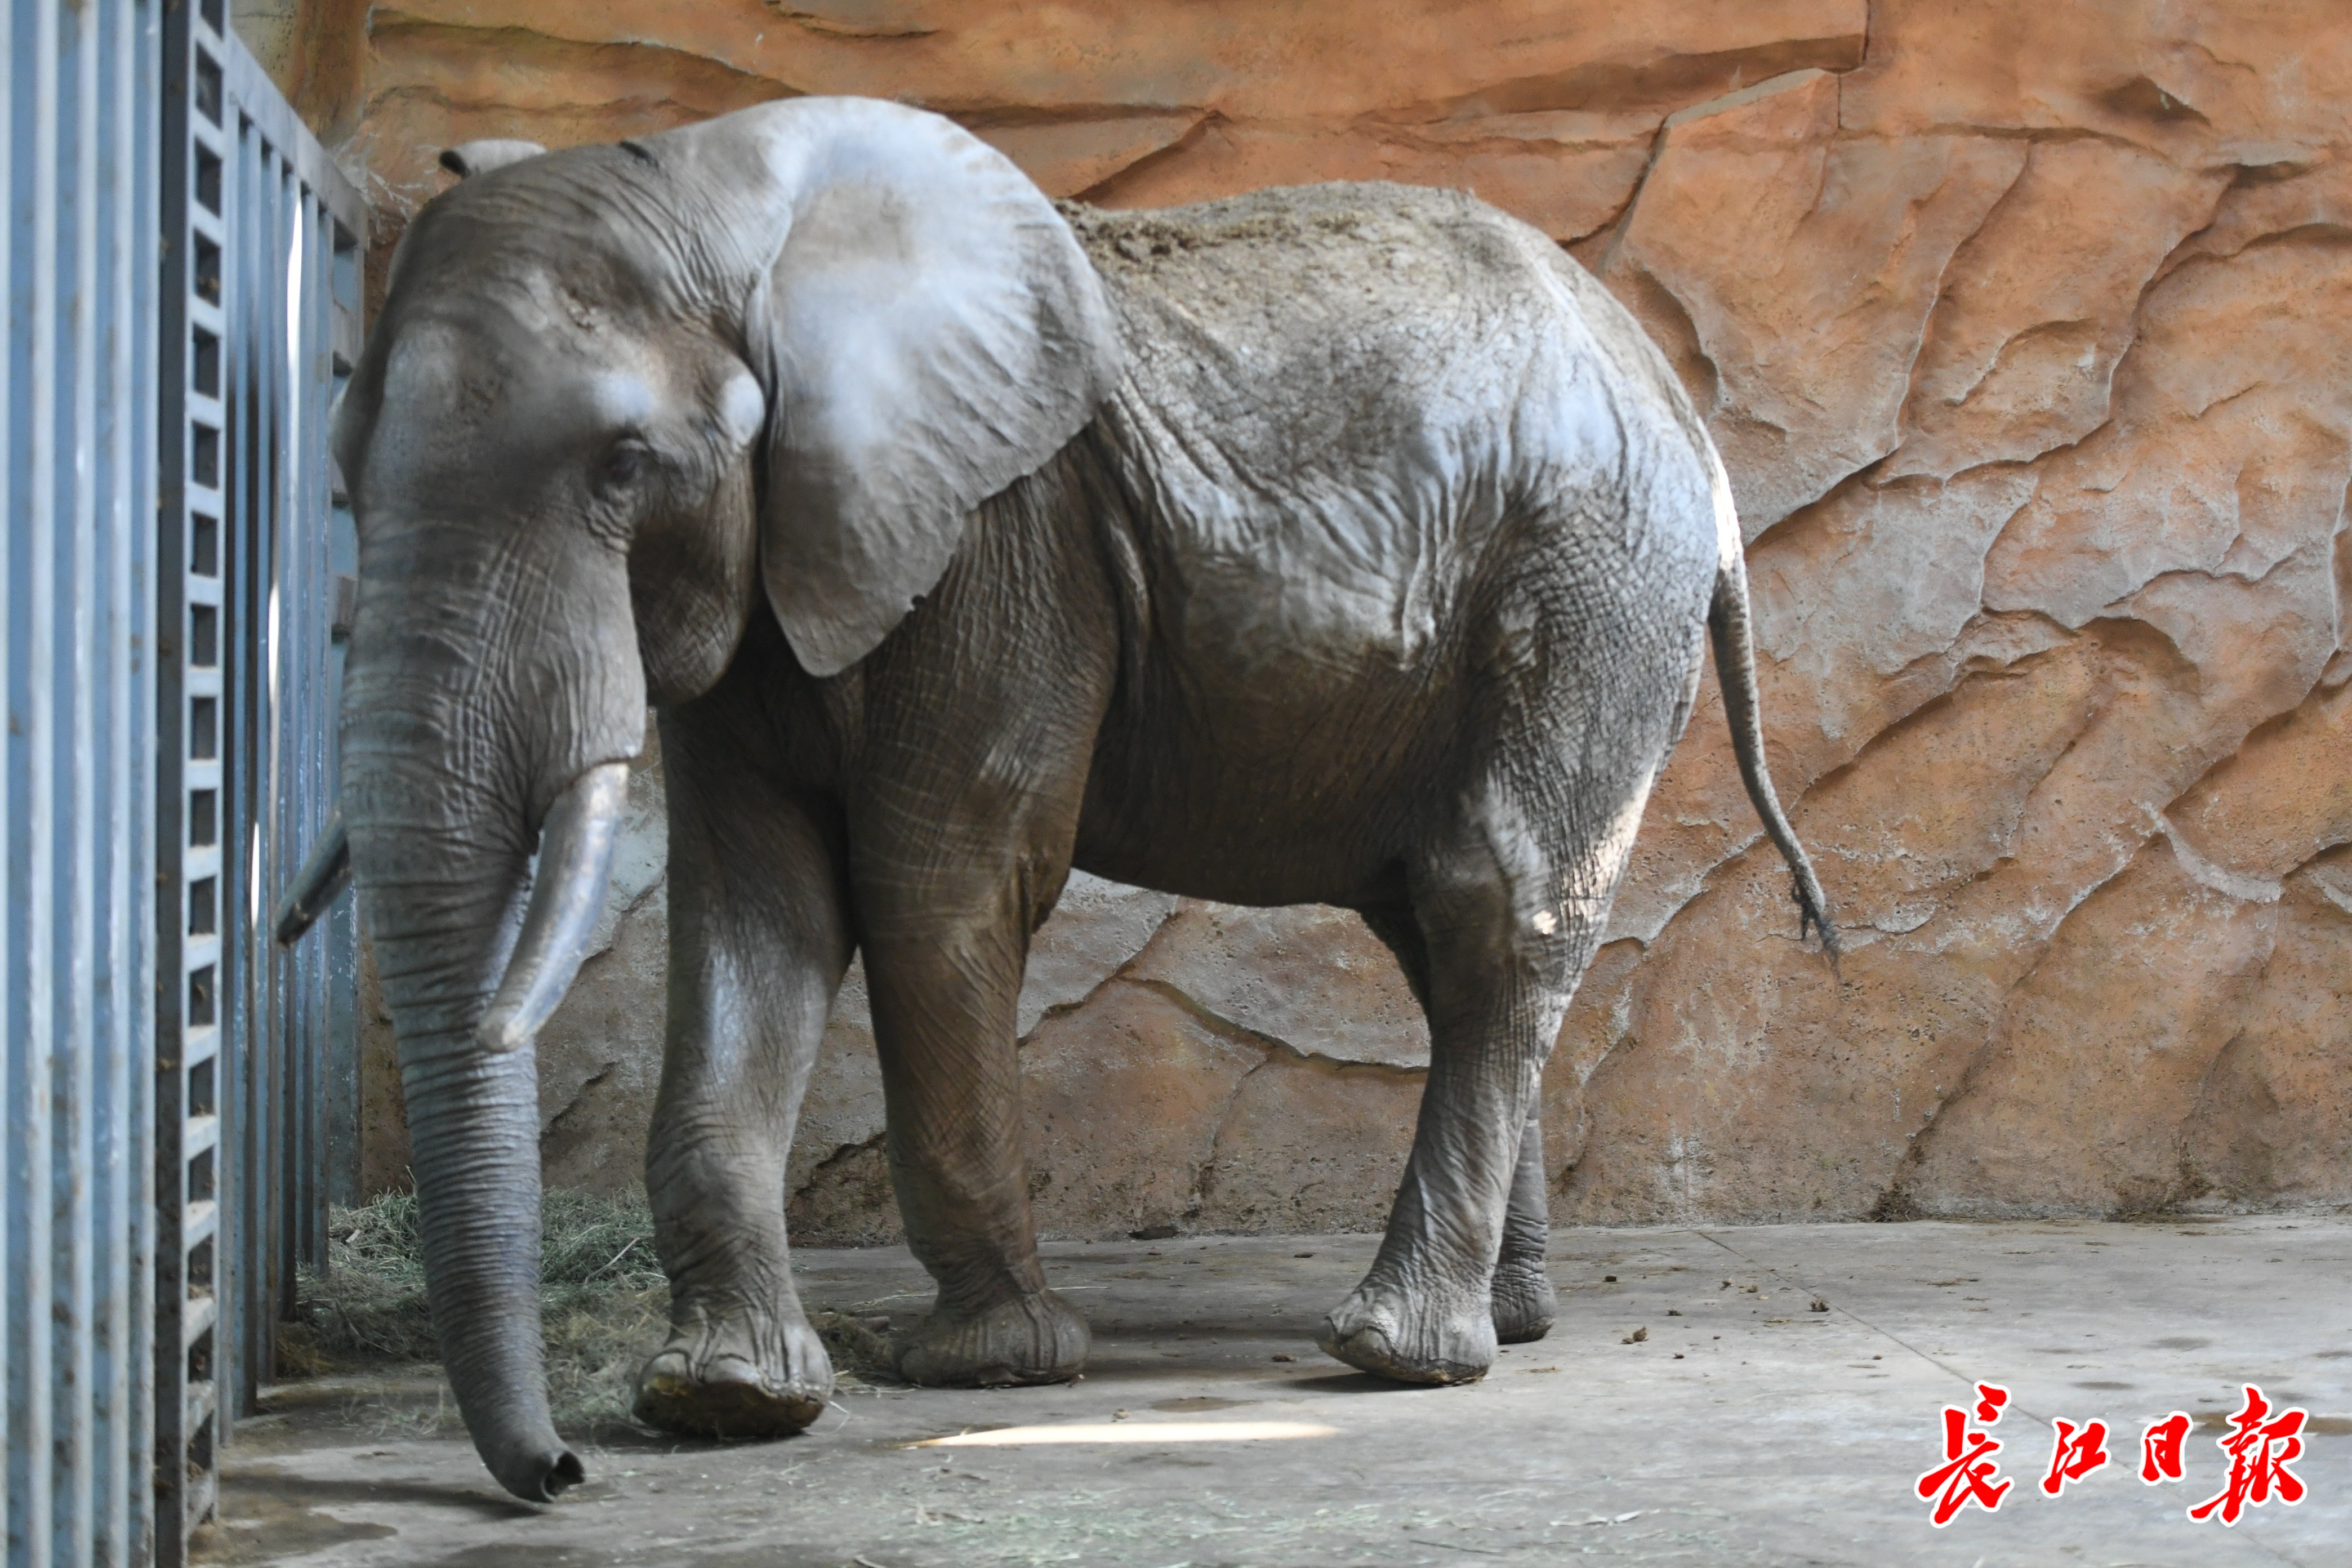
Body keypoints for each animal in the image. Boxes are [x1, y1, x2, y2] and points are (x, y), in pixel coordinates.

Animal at [279, 98, 1834, 1504]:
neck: (734, 199)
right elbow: (758, 905)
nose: (560, 1473)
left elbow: (937, 882)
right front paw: (721, 1399)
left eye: (622, 466)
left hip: (1587, 590)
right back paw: (1509, 1323)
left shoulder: (1003, 540)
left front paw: (987, 1365)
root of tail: (1696, 439)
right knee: (1441, 929)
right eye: (339, 461)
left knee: (1492, 902)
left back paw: (1398, 1352)